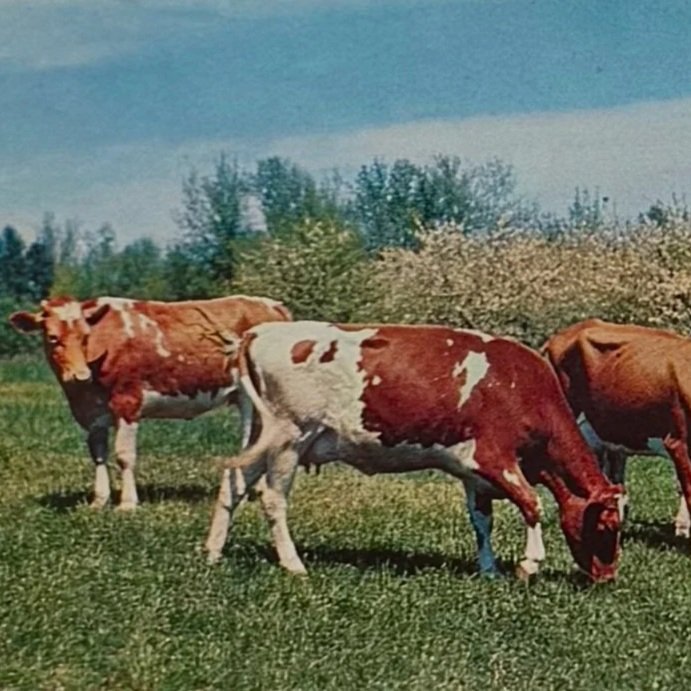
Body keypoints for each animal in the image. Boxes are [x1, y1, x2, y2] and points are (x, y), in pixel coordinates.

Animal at [9, 295, 291, 509]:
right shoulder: (92, 413)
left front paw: (127, 504)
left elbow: (124, 455)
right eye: (52, 337)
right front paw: (99, 501)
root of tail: (273, 305)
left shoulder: (128, 401)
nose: (80, 375)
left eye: (85, 336)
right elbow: (98, 453)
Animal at [205, 321, 623, 583]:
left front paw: (489, 569)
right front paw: (529, 565)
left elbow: (482, 520)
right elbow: (532, 505)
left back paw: (213, 552)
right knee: (273, 498)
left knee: (233, 483)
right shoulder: (493, 458)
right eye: (608, 526)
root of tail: (259, 332)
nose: (607, 577)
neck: (520, 385)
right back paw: (294, 565)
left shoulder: (473, 471)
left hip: (259, 434)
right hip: (290, 436)